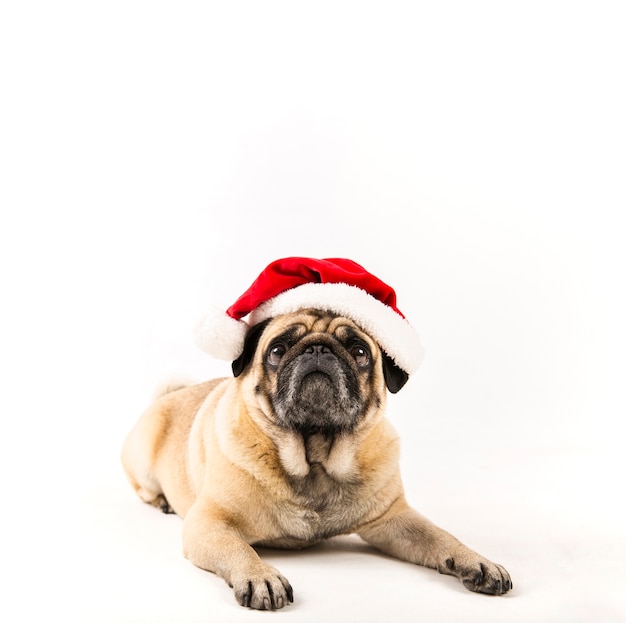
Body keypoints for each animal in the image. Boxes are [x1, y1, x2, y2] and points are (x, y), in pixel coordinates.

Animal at [119, 308, 510, 608]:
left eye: (359, 352)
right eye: (277, 350)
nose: (319, 349)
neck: (314, 457)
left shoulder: (393, 519)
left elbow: (440, 537)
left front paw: (477, 562)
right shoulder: (209, 523)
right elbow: (237, 549)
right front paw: (260, 576)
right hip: (144, 458)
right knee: (142, 487)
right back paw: (161, 501)